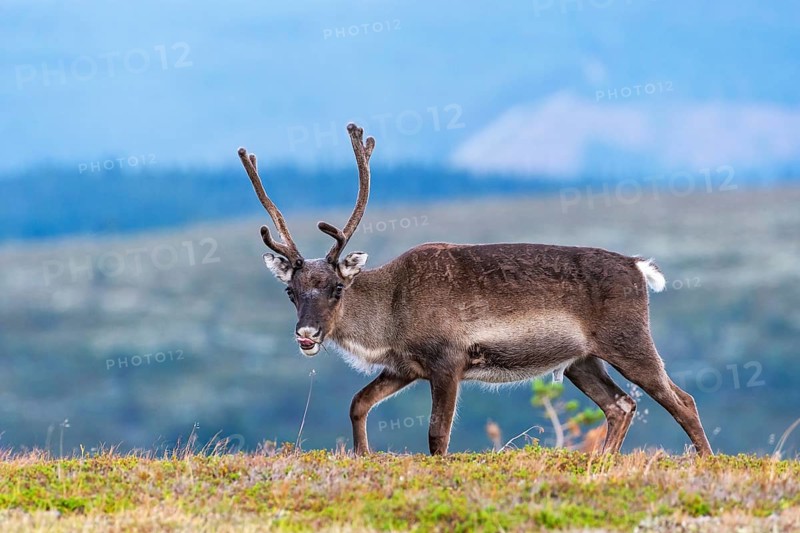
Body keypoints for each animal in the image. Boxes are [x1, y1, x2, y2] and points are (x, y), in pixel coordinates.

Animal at [237, 123, 713, 457]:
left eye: (337, 287)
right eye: (291, 292)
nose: (306, 335)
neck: (392, 307)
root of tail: (637, 266)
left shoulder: (448, 362)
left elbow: (437, 434)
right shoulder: (405, 366)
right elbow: (358, 403)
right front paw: (362, 457)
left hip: (629, 341)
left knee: (681, 400)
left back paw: (706, 461)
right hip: (582, 360)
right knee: (620, 405)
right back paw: (601, 462)